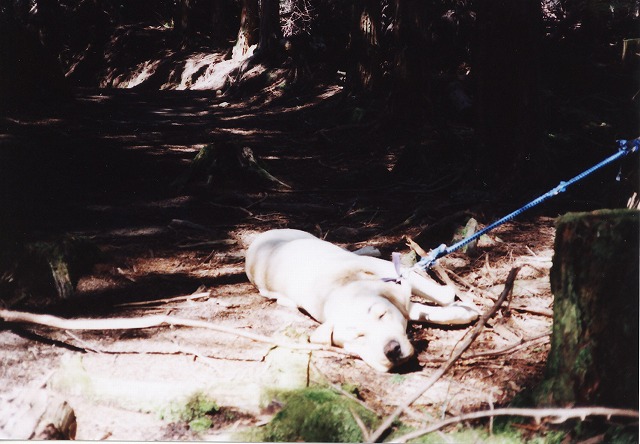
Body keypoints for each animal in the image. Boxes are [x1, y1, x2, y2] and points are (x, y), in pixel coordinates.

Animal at [245, 229, 480, 372]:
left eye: (382, 315)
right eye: (358, 337)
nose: (391, 350)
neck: (340, 289)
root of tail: (256, 242)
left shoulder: (385, 270)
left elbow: (433, 291)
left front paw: (456, 301)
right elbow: (416, 309)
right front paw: (461, 311)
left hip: (309, 238)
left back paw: (370, 249)